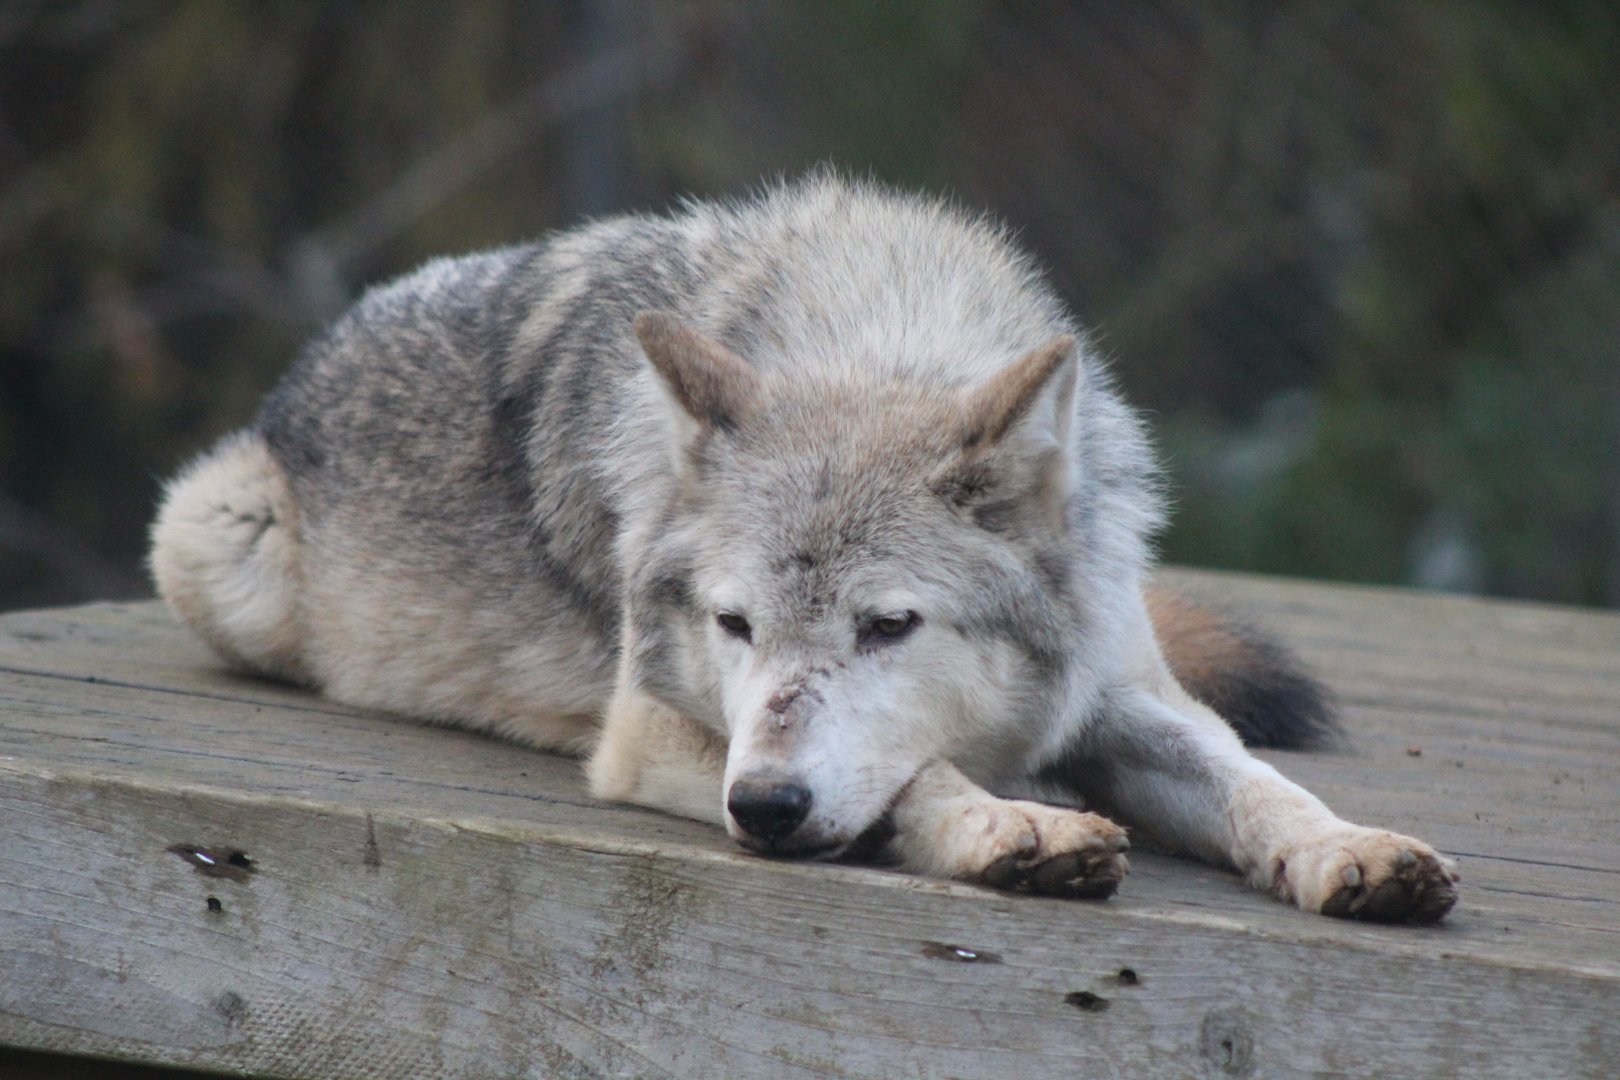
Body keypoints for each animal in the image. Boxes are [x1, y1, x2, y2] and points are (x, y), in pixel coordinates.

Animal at [151, 174, 1458, 922]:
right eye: (733, 625)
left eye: (889, 627)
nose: (768, 808)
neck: (878, 339)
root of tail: (308, 360)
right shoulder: (654, 728)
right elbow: (920, 775)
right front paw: (1014, 827)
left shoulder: (1121, 691)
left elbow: (1256, 781)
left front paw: (1353, 851)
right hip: (210, 537)